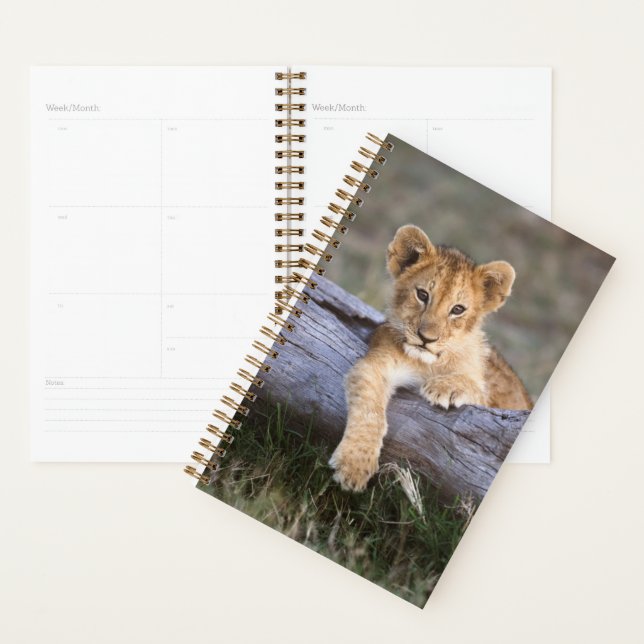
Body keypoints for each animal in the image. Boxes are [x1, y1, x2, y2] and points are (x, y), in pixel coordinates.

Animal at [329, 224, 533, 492]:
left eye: (458, 309)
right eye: (423, 295)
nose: (426, 338)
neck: (428, 362)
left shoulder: (489, 399)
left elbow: (476, 388)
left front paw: (444, 387)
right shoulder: (377, 364)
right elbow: (370, 410)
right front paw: (354, 465)